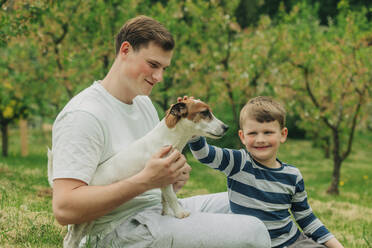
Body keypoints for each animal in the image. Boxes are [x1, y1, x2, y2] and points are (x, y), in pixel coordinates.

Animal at [48, 98, 230, 247]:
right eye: (205, 113)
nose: (226, 127)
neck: (168, 138)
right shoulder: (165, 177)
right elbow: (172, 197)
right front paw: (179, 213)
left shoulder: (167, 181)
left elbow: (165, 198)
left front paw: (166, 213)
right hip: (81, 222)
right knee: (69, 240)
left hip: (88, 221)